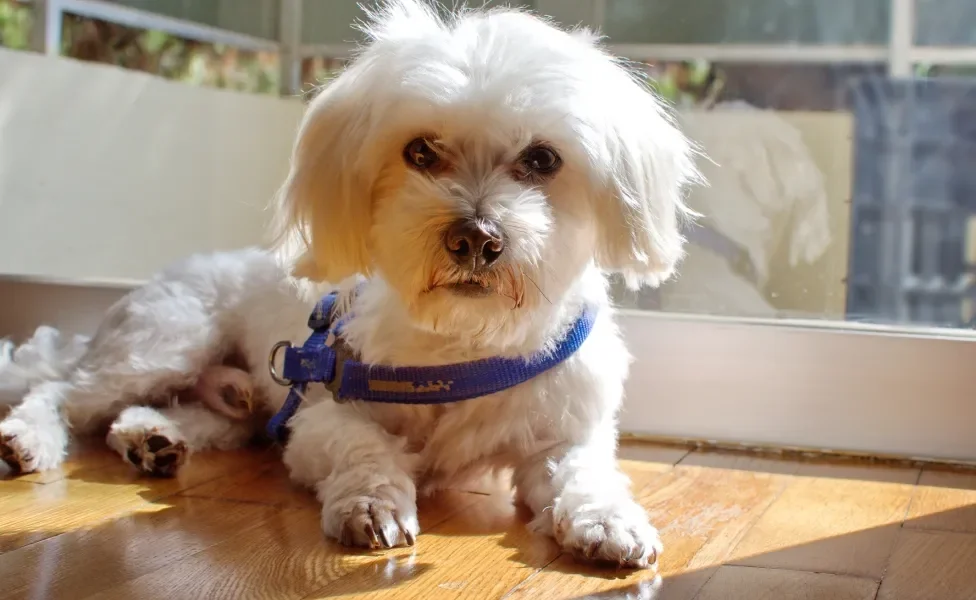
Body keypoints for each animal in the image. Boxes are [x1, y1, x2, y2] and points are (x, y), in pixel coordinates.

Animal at [0, 1, 700, 568]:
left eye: (543, 159)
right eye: (420, 152)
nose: (475, 238)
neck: (463, 348)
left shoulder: (562, 434)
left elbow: (587, 474)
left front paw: (608, 522)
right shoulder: (322, 412)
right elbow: (364, 448)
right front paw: (372, 503)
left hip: (238, 409)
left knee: (172, 413)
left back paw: (153, 440)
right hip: (168, 343)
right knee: (62, 392)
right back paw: (31, 438)